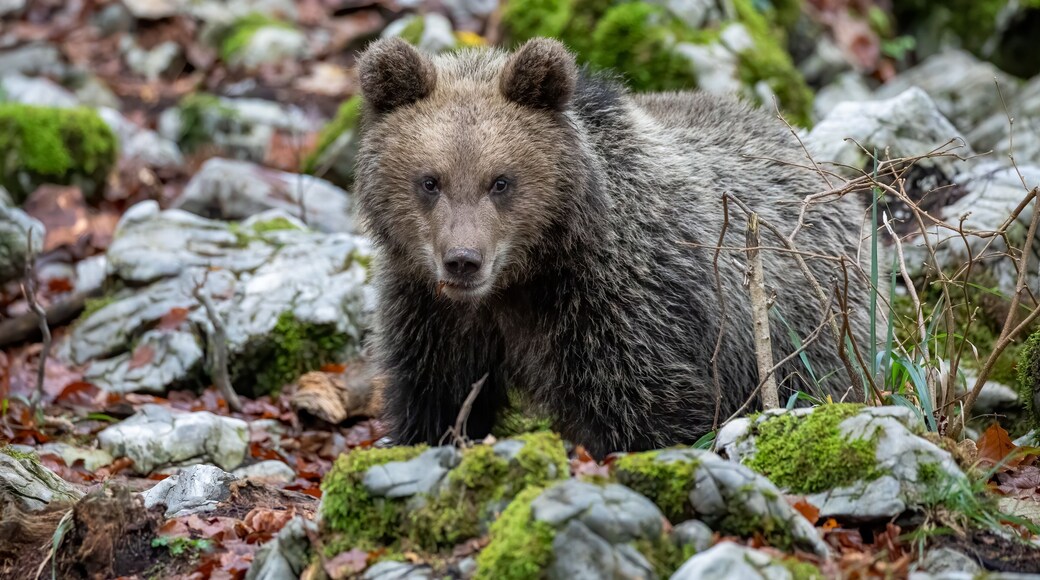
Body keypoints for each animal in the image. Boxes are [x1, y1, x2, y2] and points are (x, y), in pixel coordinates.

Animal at [353, 36, 875, 458]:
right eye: (430, 181)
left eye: (500, 181)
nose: (463, 261)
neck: (523, 277)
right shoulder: (432, 312)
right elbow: (433, 396)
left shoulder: (620, 307)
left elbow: (648, 408)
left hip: (809, 328)